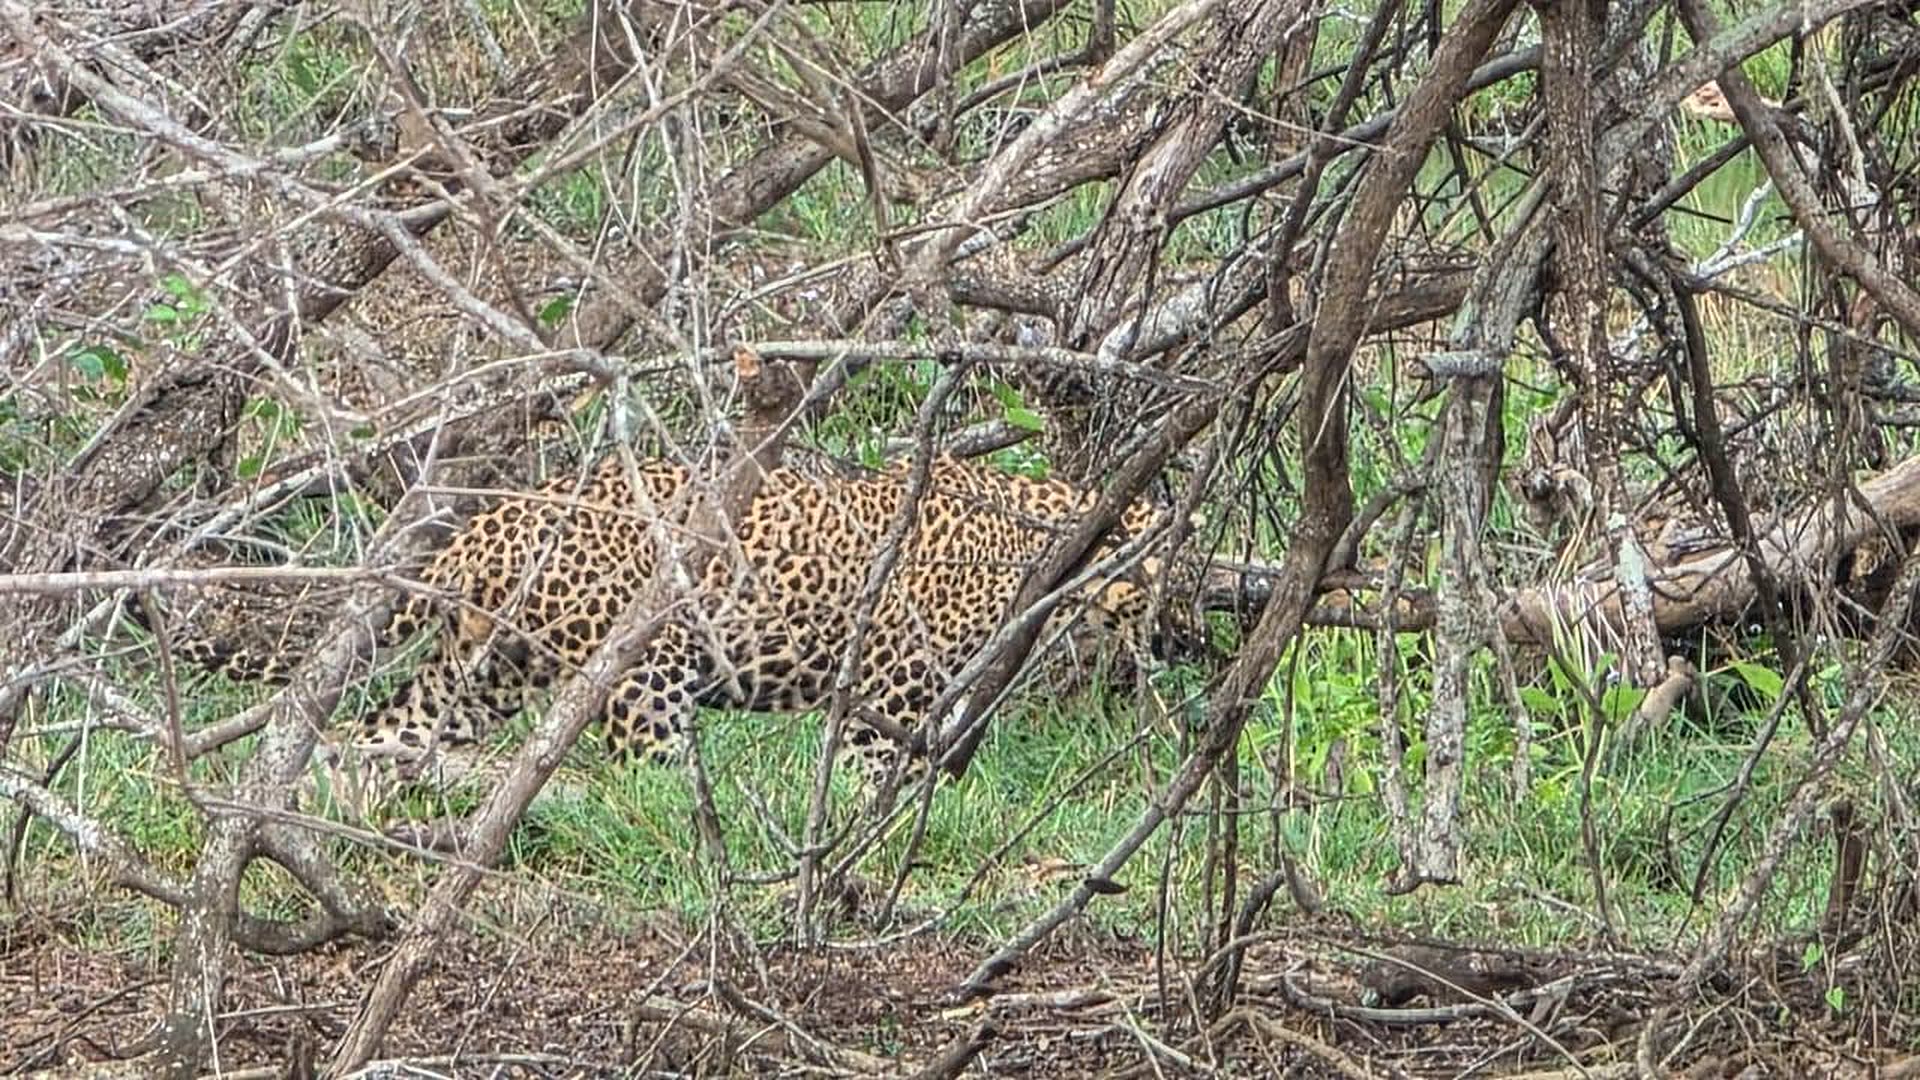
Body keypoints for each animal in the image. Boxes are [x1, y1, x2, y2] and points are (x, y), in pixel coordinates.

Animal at [177, 450, 1175, 788]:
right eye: (1148, 573)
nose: (1168, 638)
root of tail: (487, 524)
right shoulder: (889, 686)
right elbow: (868, 769)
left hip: (480, 671)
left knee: (384, 730)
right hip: (643, 668)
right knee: (648, 772)